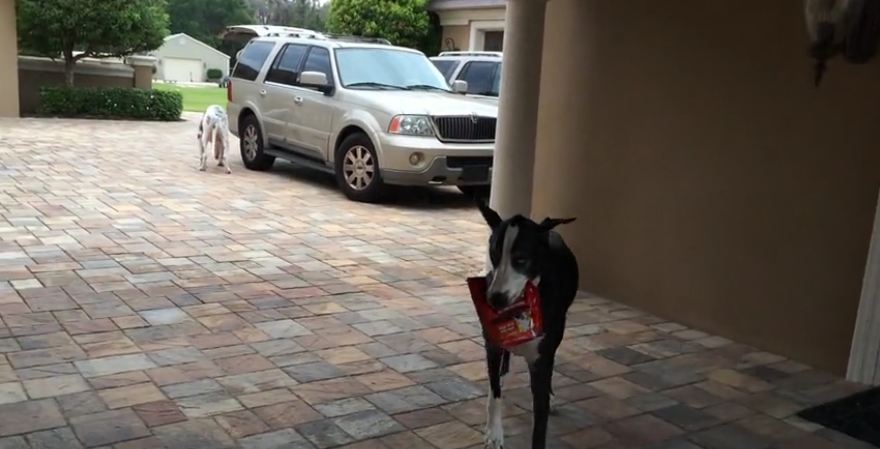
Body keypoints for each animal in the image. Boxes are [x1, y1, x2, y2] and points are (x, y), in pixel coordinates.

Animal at [478, 200, 580, 448]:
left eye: (521, 259)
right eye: (493, 254)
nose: (495, 299)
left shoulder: (541, 359)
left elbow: (540, 421)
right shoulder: (492, 344)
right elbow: (495, 390)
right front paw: (494, 431)